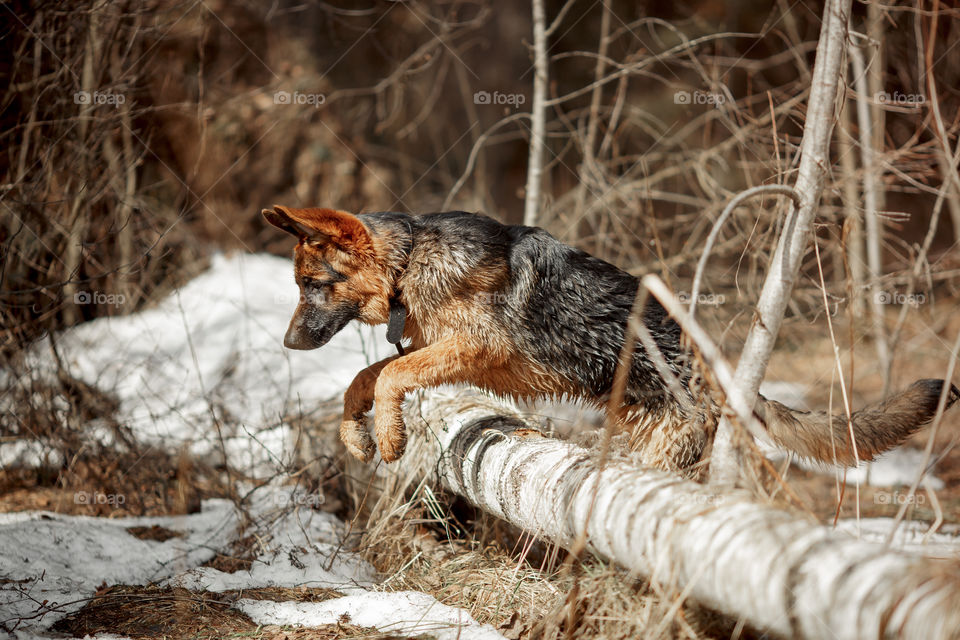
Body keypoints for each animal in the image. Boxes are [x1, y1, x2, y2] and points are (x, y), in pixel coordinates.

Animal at [262, 205, 960, 476]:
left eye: (313, 286)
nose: (288, 345)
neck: (411, 260)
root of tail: (715, 369)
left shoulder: (471, 349)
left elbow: (390, 375)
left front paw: (387, 433)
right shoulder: (445, 352)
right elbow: (364, 378)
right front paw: (357, 432)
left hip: (662, 453)